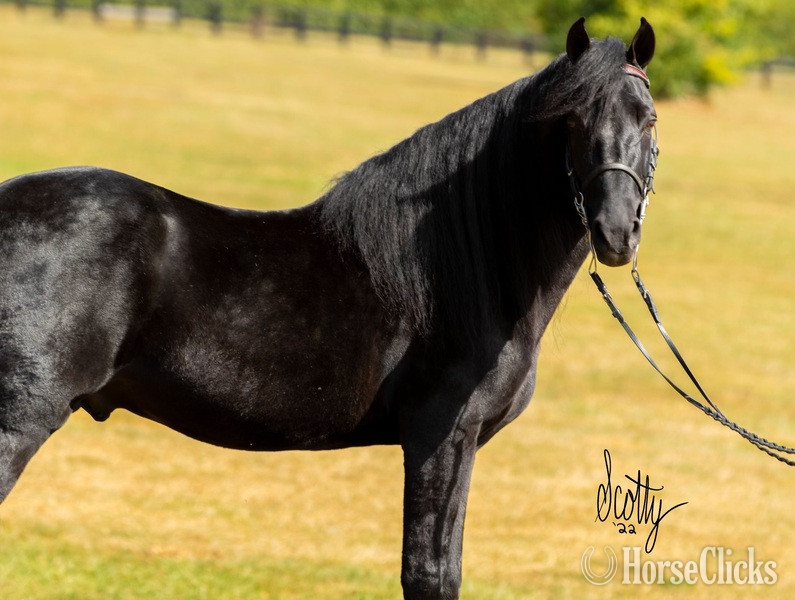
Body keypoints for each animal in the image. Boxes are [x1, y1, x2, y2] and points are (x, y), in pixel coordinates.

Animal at [0, 17, 657, 599]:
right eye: (571, 120)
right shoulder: (442, 437)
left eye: (649, 117)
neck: (464, 268)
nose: (615, 232)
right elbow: (430, 576)